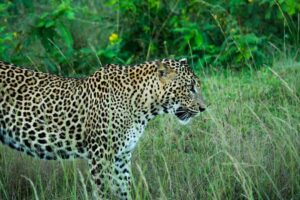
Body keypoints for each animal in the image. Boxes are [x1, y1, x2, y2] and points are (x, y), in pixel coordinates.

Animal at [0, 57, 206, 198]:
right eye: (190, 88)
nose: (204, 108)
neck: (144, 106)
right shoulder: (101, 155)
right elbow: (104, 192)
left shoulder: (122, 156)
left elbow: (124, 189)